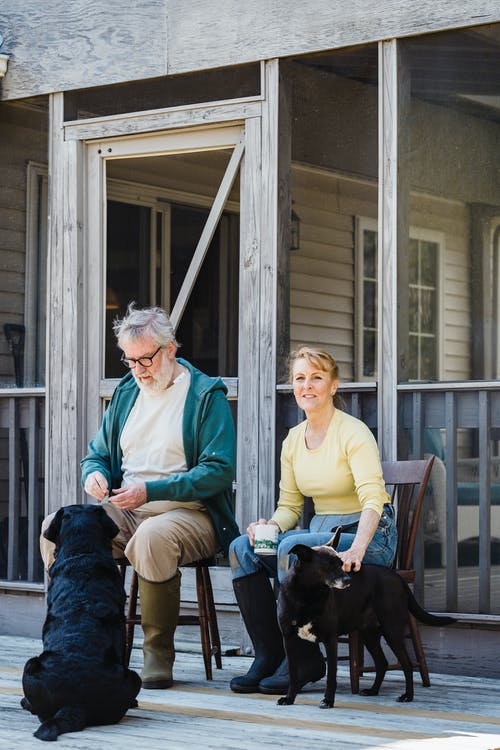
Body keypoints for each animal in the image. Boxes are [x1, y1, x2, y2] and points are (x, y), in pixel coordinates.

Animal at [276, 528, 456, 712]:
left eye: (341, 563)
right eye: (327, 565)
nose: (348, 580)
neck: (307, 596)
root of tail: (398, 577)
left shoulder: (330, 640)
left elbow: (331, 676)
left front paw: (328, 700)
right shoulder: (288, 639)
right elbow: (293, 674)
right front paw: (289, 698)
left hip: (392, 631)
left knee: (407, 664)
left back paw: (408, 696)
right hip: (369, 634)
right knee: (382, 663)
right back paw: (373, 690)